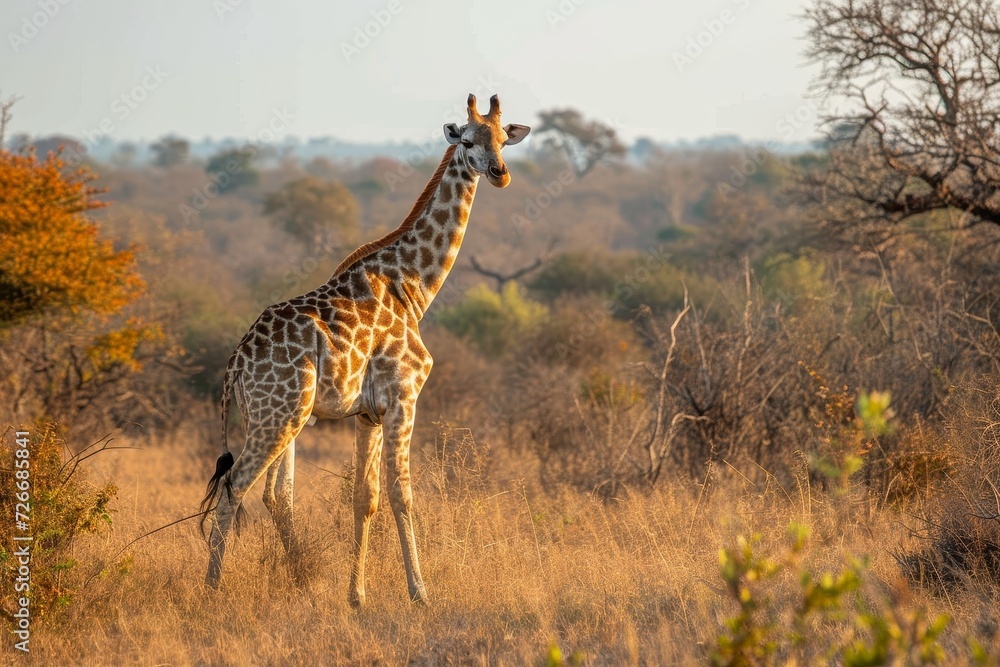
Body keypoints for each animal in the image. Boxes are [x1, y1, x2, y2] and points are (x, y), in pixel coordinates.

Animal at [200, 93, 530, 606]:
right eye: (468, 141)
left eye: (501, 138)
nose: (499, 173)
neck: (412, 286)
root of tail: (235, 364)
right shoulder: (403, 397)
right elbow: (401, 494)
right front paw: (420, 592)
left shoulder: (366, 413)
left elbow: (364, 497)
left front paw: (356, 596)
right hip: (279, 417)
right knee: (236, 485)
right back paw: (214, 587)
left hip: (278, 416)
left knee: (273, 493)